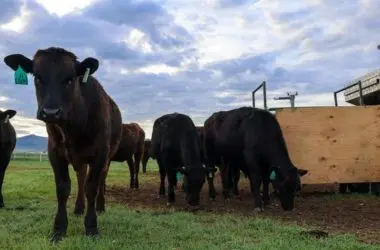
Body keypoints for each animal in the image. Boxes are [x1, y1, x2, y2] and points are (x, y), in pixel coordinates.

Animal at [3, 47, 122, 242]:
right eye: (37, 77)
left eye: (70, 79)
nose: (51, 112)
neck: (73, 128)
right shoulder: (55, 152)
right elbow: (63, 188)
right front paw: (59, 229)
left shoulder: (100, 154)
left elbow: (92, 187)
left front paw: (91, 227)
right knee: (81, 177)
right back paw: (79, 208)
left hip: (107, 157)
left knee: (99, 180)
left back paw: (100, 207)